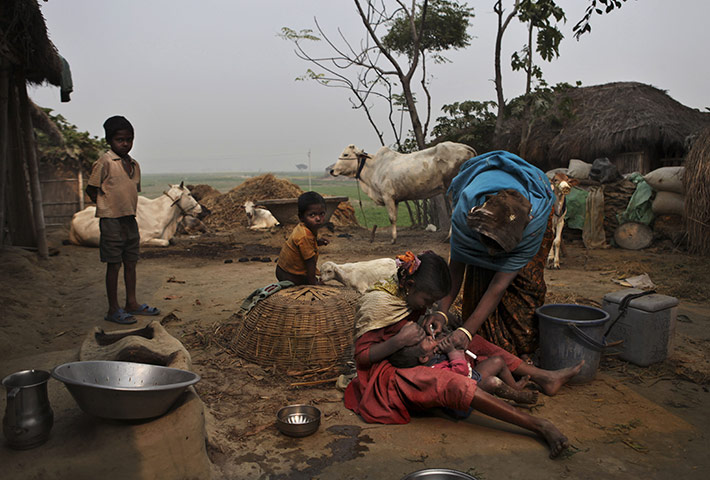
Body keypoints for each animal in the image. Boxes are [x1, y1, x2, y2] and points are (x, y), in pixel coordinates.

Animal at [69, 181, 202, 248]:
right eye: (189, 194)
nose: (200, 208)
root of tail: (75, 216)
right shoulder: (143, 239)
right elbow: (165, 242)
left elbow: (172, 239)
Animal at [332, 141, 478, 242]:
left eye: (346, 154)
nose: (332, 170)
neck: (374, 167)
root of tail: (466, 147)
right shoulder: (394, 199)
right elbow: (395, 218)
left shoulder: (387, 196)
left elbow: (392, 218)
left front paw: (393, 240)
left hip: (452, 189)